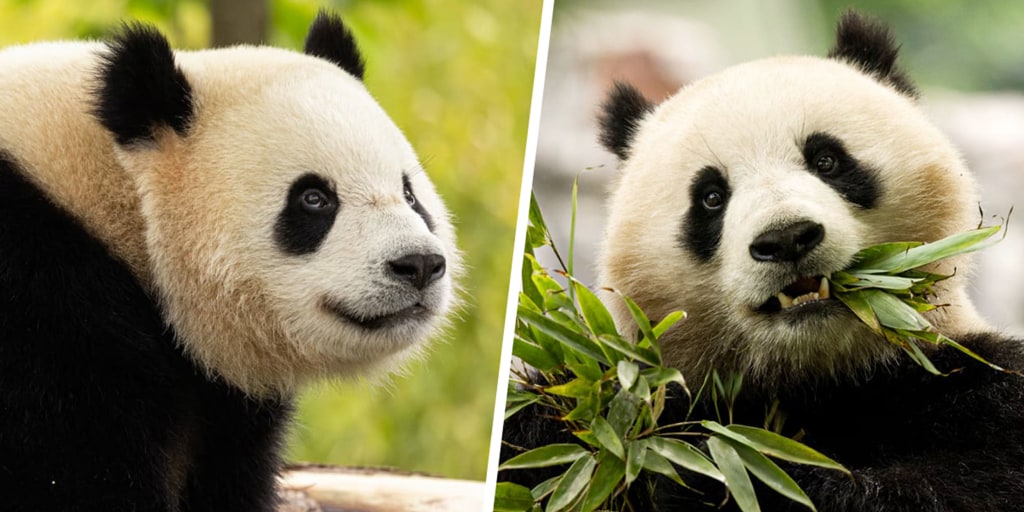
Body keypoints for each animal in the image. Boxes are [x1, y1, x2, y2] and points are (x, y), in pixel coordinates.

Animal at [502, 11, 1024, 512]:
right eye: (711, 197)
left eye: (827, 160)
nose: (787, 238)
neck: (817, 378)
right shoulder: (636, 392)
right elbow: (544, 439)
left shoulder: (969, 386)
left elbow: (962, 483)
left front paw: (723, 478)